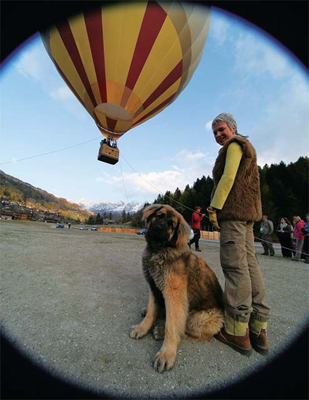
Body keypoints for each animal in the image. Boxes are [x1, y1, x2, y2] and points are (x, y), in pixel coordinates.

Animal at [130, 205, 224, 374]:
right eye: (159, 216)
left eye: (171, 225)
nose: (158, 228)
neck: (158, 250)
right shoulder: (154, 287)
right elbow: (151, 311)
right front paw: (142, 328)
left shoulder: (173, 295)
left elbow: (172, 325)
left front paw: (166, 354)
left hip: (207, 318)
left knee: (186, 329)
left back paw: (160, 330)